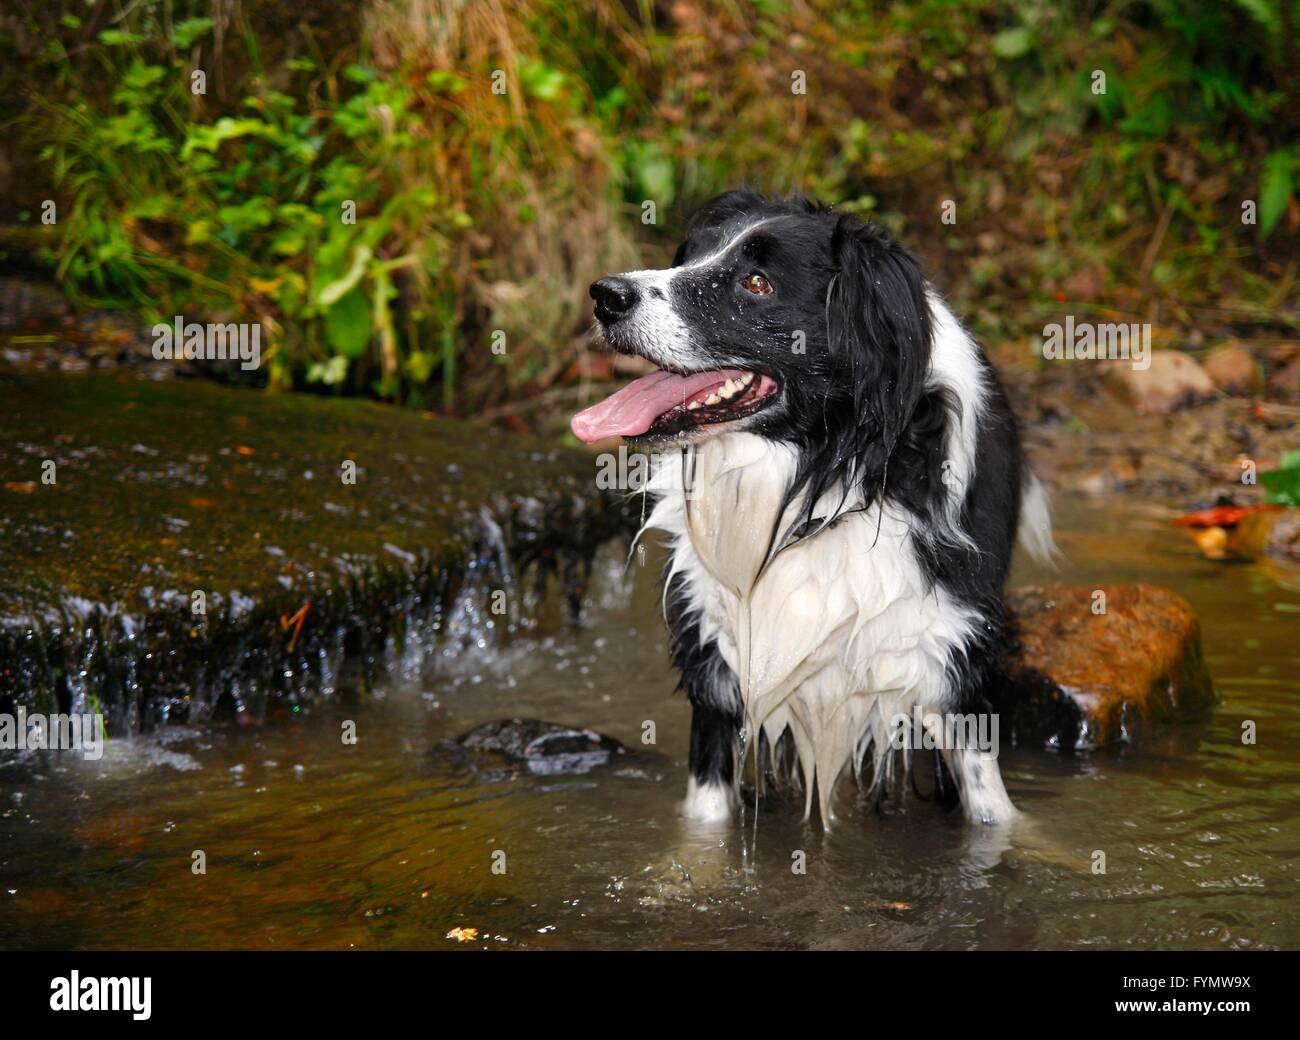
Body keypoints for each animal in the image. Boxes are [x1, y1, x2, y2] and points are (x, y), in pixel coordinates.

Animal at [574, 188, 1050, 826]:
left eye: (756, 283)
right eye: (690, 256)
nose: (606, 295)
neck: (818, 480)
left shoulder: (951, 663)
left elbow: (990, 809)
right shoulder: (717, 668)